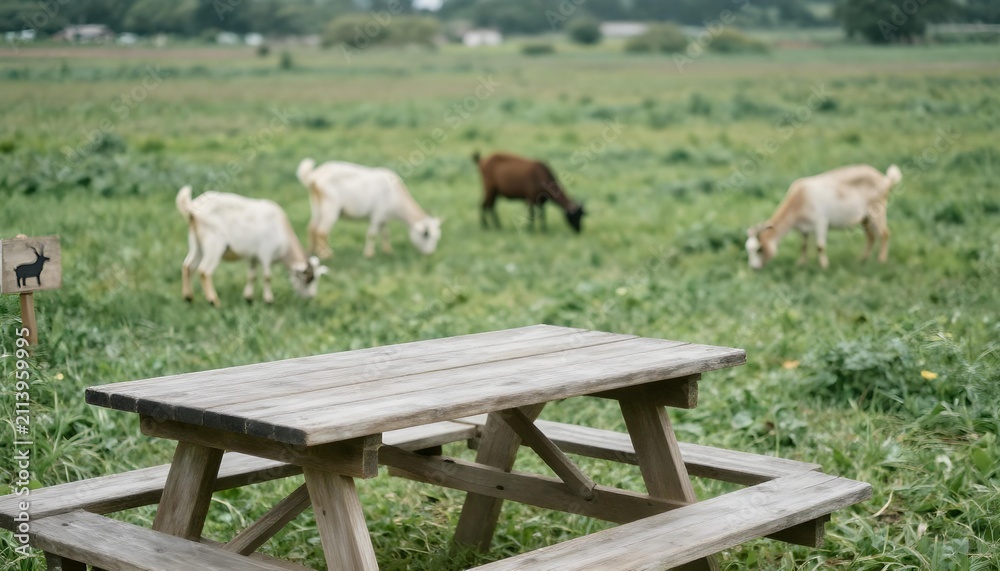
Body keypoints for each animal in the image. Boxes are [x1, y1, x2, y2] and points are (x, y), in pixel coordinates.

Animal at [176, 185, 327, 306]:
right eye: (309, 279)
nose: (311, 297)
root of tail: (192, 208)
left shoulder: (253, 257)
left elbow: (252, 276)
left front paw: (248, 298)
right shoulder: (266, 253)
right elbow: (267, 276)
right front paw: (269, 300)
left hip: (196, 244)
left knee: (188, 266)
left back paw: (188, 298)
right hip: (213, 244)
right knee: (204, 271)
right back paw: (214, 301)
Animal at [296, 159, 441, 259]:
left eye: (437, 237)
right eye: (426, 234)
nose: (430, 254)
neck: (396, 199)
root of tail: (314, 176)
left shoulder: (384, 218)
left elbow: (385, 233)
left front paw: (388, 251)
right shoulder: (377, 214)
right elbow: (372, 234)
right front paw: (369, 254)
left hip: (317, 206)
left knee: (312, 228)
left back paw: (312, 252)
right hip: (330, 208)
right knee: (321, 231)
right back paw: (327, 255)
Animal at [745, 164, 902, 270]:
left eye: (759, 249)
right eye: (748, 249)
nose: (754, 268)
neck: (801, 198)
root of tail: (885, 179)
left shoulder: (820, 222)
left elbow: (820, 246)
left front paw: (824, 266)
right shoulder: (804, 228)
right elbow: (803, 245)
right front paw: (801, 264)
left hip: (877, 211)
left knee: (884, 234)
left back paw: (881, 260)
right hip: (865, 218)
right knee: (871, 236)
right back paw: (862, 260)